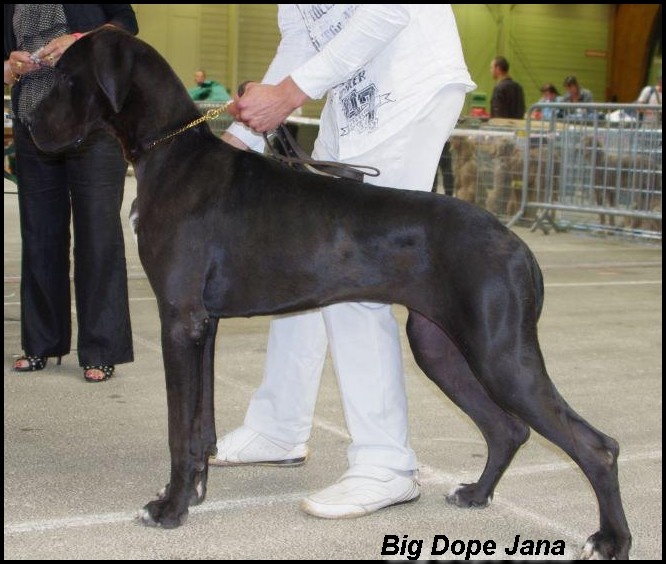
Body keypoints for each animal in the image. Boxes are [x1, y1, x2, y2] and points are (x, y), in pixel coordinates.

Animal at [29, 28, 631, 559]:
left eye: (65, 76)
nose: (28, 125)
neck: (171, 152)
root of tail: (516, 242)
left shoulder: (179, 319)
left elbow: (180, 429)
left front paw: (170, 508)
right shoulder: (203, 324)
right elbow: (199, 424)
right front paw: (193, 493)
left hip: (500, 353)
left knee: (596, 446)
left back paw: (611, 540)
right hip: (440, 345)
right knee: (507, 428)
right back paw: (476, 495)